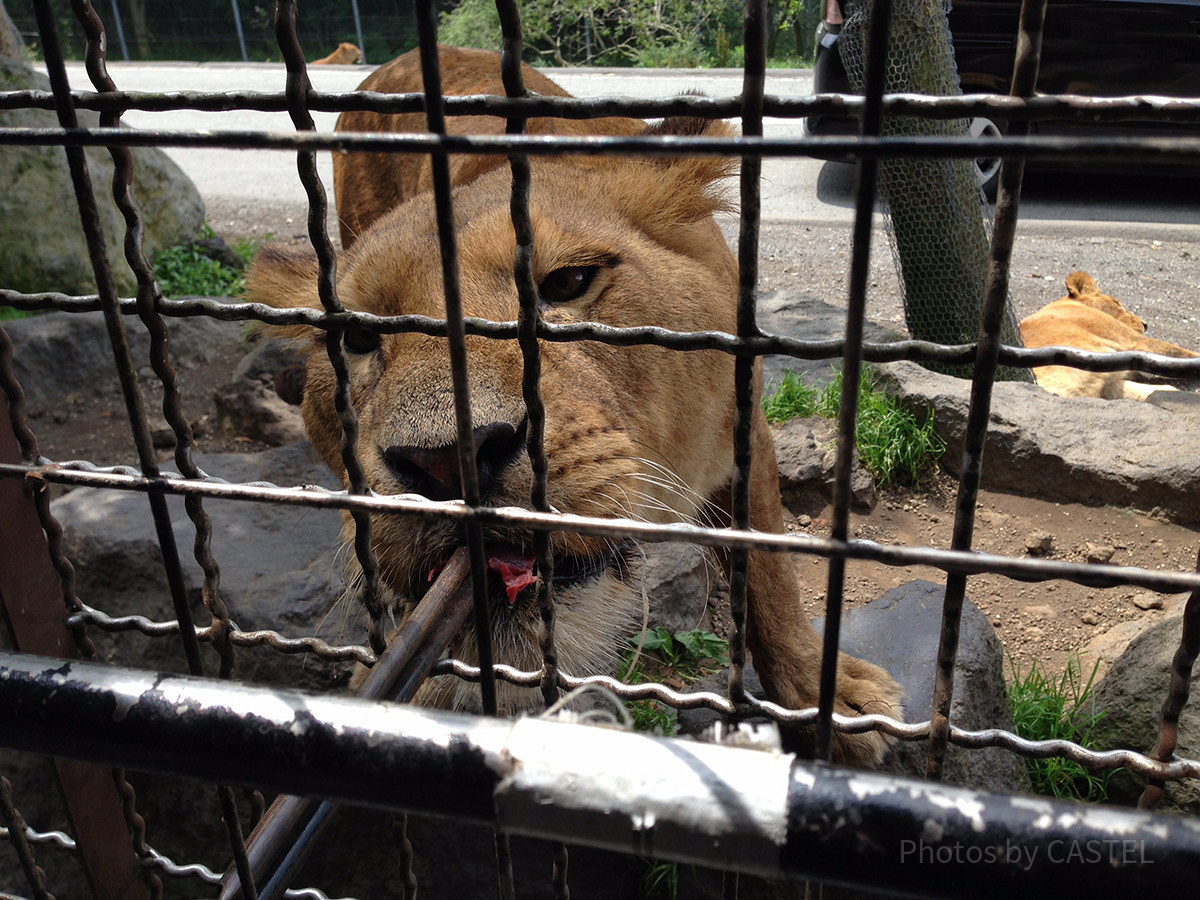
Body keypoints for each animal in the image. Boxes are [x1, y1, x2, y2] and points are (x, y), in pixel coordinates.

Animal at [243, 45, 902, 768]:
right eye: (359, 338)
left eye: (567, 283)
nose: (447, 461)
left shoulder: (746, 425)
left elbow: (770, 576)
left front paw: (827, 700)